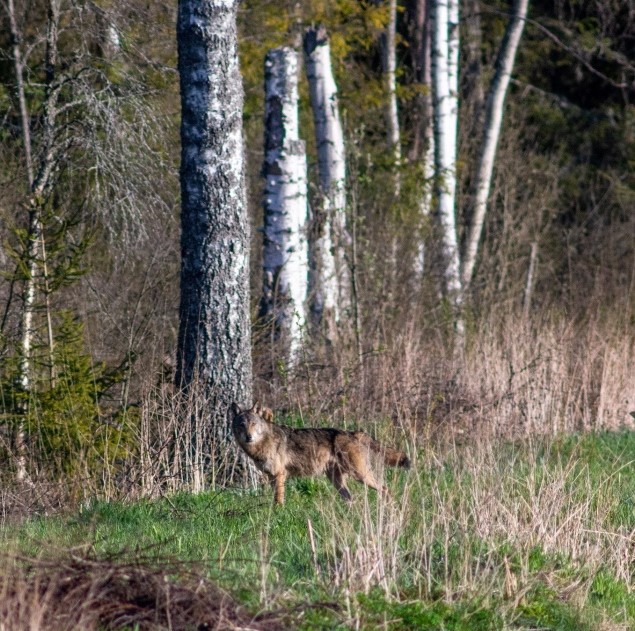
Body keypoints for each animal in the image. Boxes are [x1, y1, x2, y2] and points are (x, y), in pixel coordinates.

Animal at [231, 404, 410, 504]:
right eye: (241, 425)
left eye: (253, 424)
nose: (248, 437)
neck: (263, 443)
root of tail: (354, 433)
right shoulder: (270, 476)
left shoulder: (280, 475)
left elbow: (278, 500)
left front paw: (278, 514)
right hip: (338, 481)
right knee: (351, 499)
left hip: (361, 476)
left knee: (385, 490)